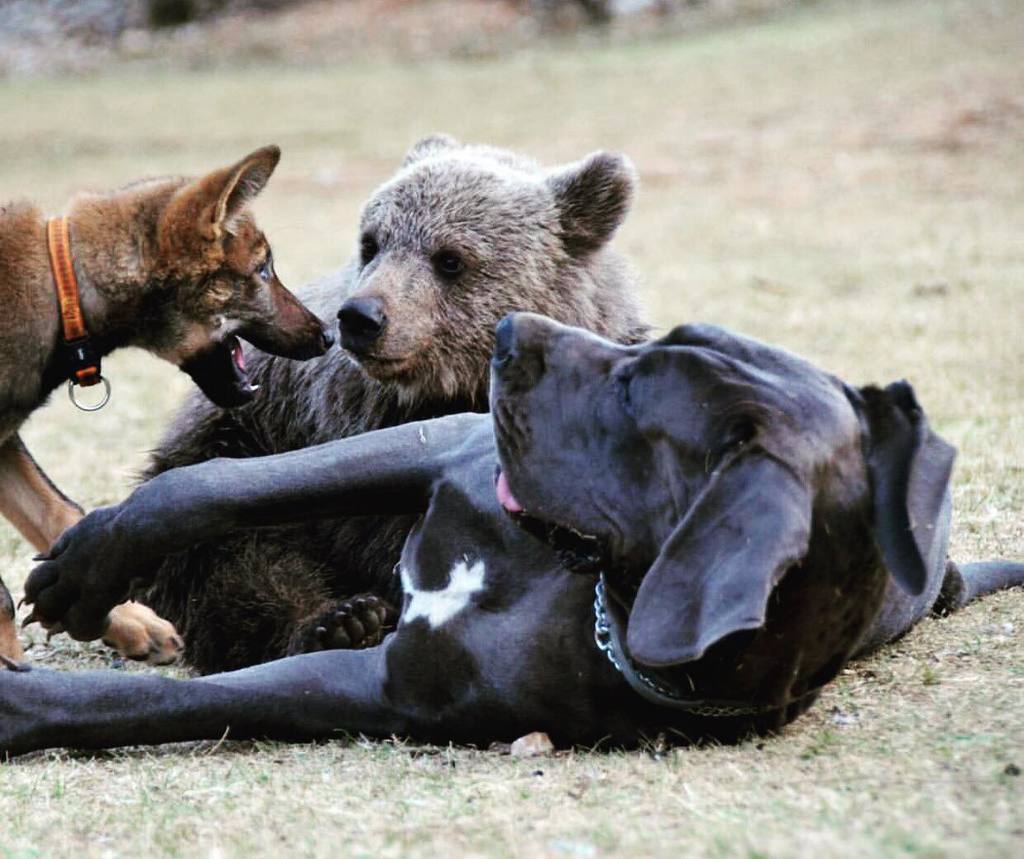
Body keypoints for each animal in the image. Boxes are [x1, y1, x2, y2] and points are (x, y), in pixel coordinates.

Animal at [140, 135, 650, 673]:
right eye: (372, 242)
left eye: (450, 258)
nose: (361, 317)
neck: (456, 388)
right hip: (234, 443)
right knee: (240, 566)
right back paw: (339, 622)